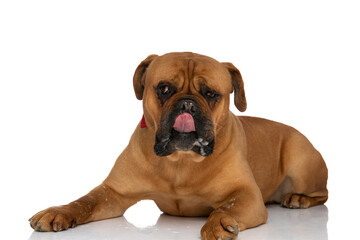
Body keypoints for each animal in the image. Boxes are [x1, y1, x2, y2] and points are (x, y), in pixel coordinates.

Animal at [30, 52, 330, 240]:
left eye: (211, 94)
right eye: (163, 88)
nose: (187, 104)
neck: (180, 162)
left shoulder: (246, 195)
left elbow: (226, 207)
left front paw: (218, 223)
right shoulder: (113, 193)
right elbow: (85, 201)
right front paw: (58, 212)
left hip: (301, 158)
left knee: (322, 194)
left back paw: (298, 199)